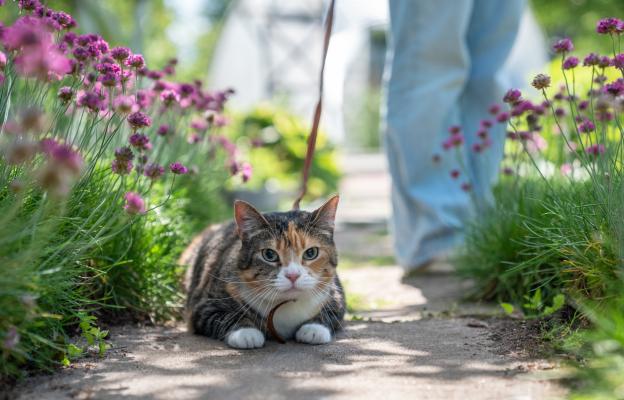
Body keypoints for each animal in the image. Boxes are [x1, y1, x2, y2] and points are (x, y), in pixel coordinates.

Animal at [180, 195, 346, 348]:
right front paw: (246, 333)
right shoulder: (203, 305)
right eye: (269, 255)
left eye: (311, 253)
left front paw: (314, 329)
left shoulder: (336, 292)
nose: (293, 275)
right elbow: (224, 316)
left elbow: (334, 310)